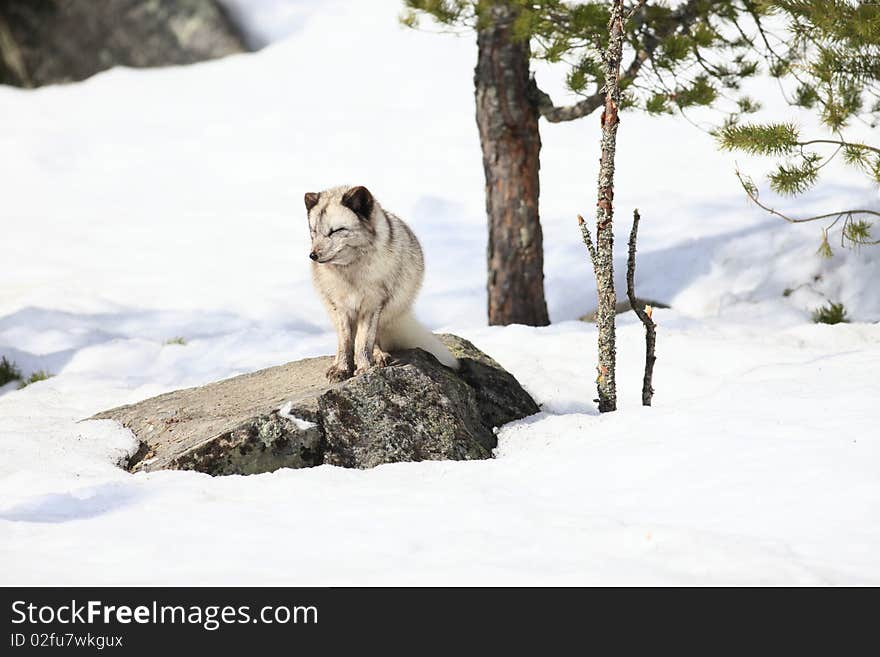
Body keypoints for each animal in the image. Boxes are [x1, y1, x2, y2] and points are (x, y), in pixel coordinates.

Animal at [306, 184, 460, 380]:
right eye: (314, 232)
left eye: (335, 230)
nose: (313, 255)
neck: (351, 275)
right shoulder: (341, 307)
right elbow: (345, 342)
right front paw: (341, 368)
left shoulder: (373, 304)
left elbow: (364, 342)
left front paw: (365, 368)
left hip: (386, 310)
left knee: (375, 338)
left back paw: (379, 356)